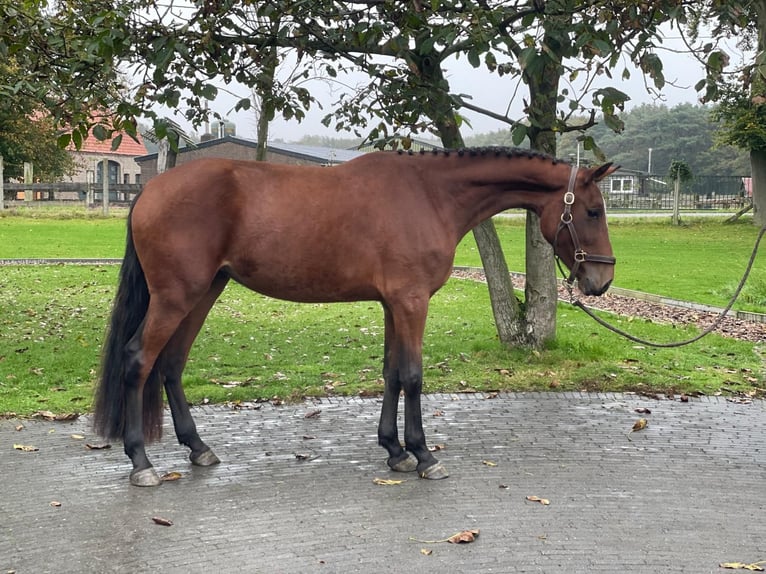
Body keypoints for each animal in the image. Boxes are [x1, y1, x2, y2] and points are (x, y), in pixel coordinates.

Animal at [93, 147, 616, 486]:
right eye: (592, 210)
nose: (602, 280)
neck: (431, 194)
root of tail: (151, 190)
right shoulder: (411, 301)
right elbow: (413, 375)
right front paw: (423, 455)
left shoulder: (392, 303)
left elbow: (391, 373)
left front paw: (395, 451)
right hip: (175, 297)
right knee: (139, 360)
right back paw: (142, 463)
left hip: (203, 293)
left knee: (171, 364)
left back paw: (198, 449)